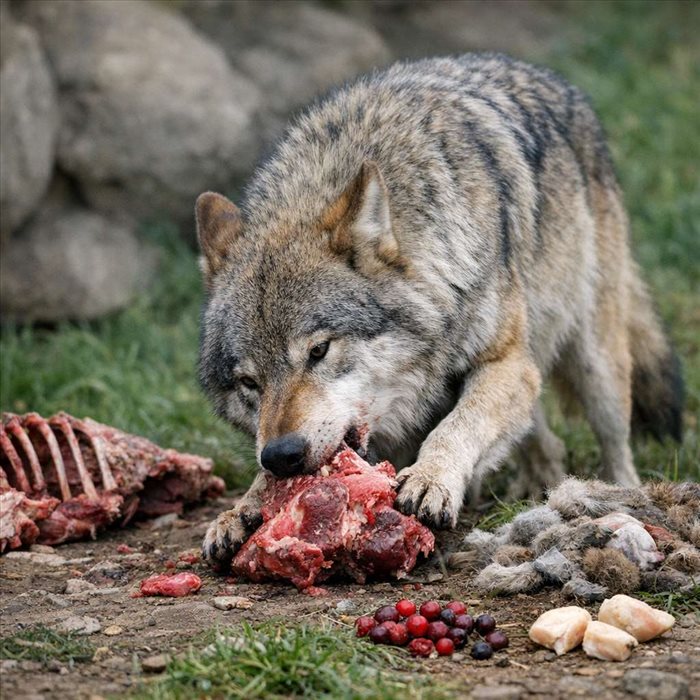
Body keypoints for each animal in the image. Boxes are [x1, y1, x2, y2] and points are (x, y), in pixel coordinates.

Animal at [196, 53, 683, 567]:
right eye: (248, 383)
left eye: (319, 351)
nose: (283, 456)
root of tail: (548, 77)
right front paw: (243, 508)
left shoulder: (506, 364)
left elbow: (456, 427)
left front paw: (430, 478)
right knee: (543, 441)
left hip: (596, 365)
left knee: (615, 441)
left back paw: (621, 496)